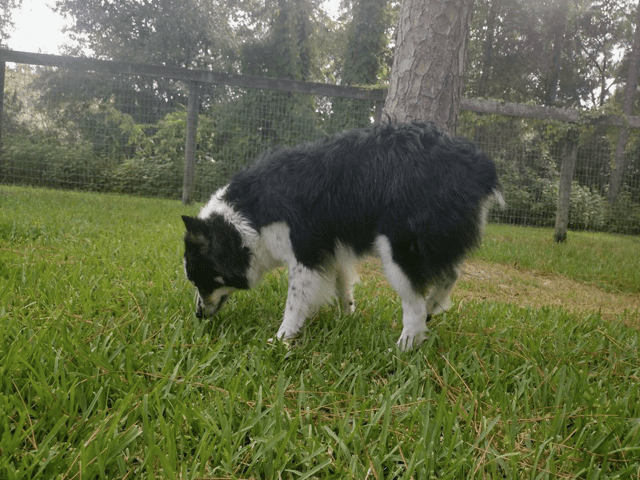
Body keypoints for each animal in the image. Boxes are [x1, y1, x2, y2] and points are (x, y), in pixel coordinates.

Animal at [182, 122, 502, 350]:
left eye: (202, 279)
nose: (197, 316)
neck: (243, 220)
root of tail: (478, 169)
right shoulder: (330, 251)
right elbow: (341, 287)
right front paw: (346, 318)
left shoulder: (305, 251)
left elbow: (295, 302)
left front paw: (281, 338)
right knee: (450, 275)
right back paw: (433, 308)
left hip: (397, 248)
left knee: (414, 307)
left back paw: (403, 349)